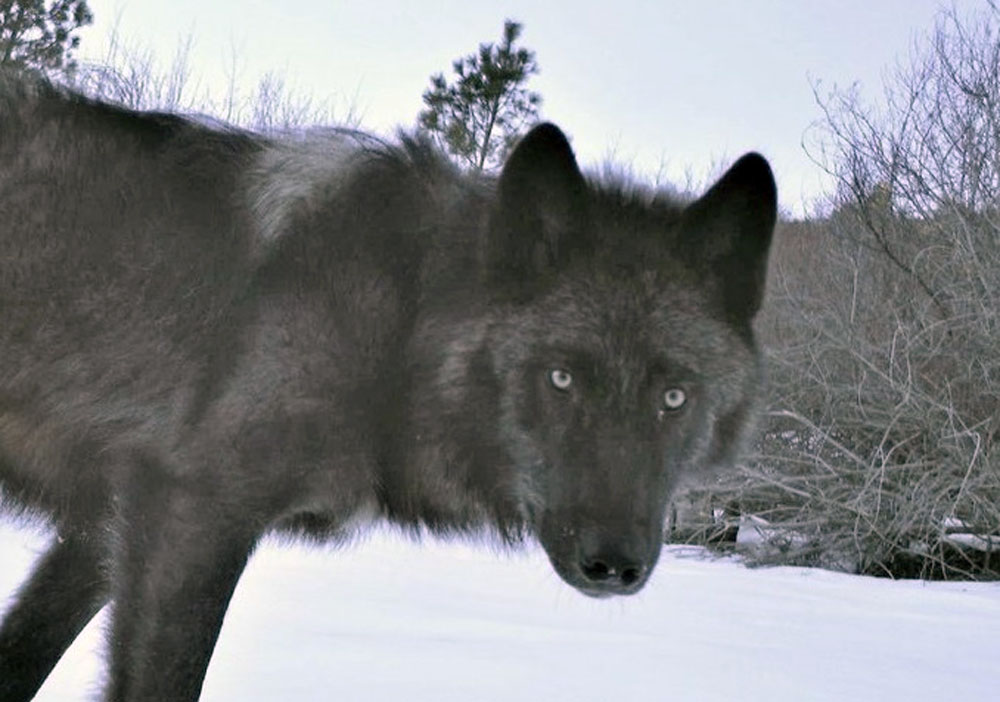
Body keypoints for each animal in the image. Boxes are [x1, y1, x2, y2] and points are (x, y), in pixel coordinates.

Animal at [0, 71, 777, 701]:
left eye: (673, 397)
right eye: (560, 379)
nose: (613, 563)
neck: (400, 323)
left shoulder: (103, 529)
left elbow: (22, 659)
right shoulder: (189, 518)